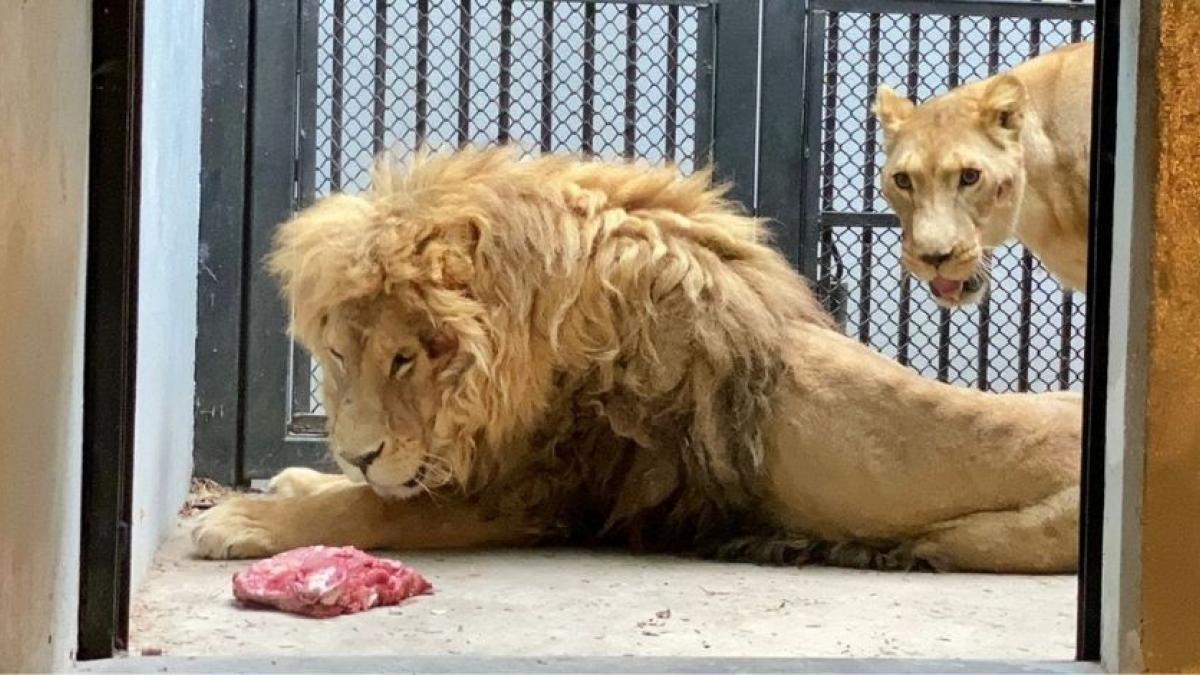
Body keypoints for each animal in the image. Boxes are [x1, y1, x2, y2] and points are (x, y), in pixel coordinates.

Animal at [194, 144, 1080, 569]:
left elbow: (370, 507)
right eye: (341, 356)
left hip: (993, 532)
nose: (359, 448)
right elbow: (366, 489)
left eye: (409, 358)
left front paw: (246, 517)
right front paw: (298, 477)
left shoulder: (531, 494)